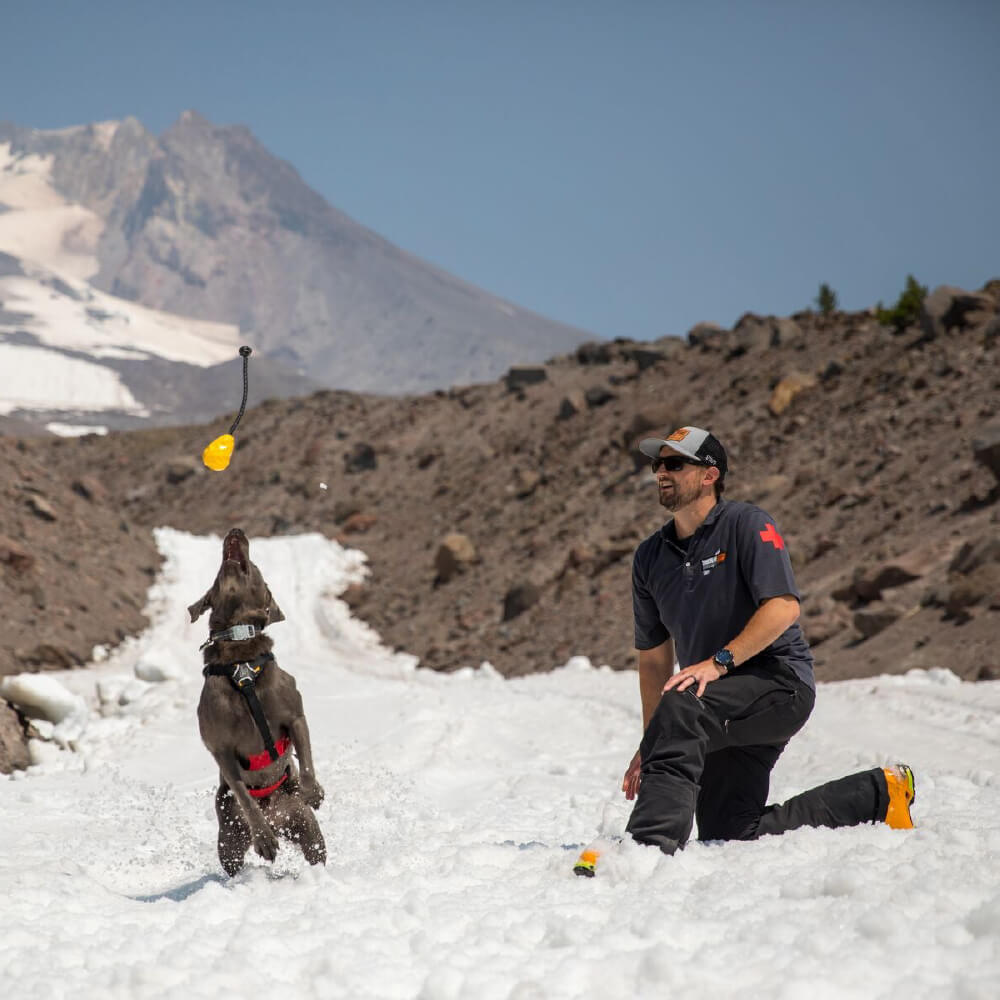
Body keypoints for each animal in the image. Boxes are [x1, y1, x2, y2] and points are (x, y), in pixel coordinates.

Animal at [187, 528, 324, 872]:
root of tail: (277, 817)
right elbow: (244, 795)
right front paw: (264, 840)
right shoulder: (220, 748)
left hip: (305, 827)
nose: (236, 531)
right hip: (230, 837)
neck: (240, 654)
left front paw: (314, 791)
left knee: (315, 847)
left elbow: (305, 759)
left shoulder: (294, 714)